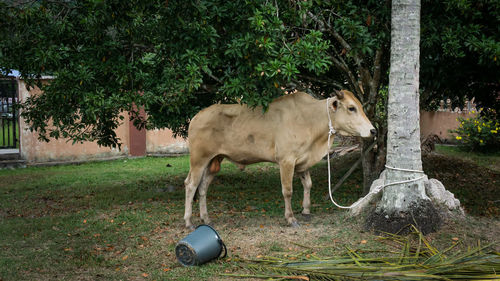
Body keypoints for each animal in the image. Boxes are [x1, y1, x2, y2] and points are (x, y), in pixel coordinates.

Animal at [184, 89, 376, 228]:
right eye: (351, 108)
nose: (373, 130)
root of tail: (197, 116)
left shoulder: (303, 160)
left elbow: (308, 184)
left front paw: (306, 211)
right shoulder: (286, 160)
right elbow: (287, 190)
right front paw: (290, 218)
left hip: (214, 161)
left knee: (203, 188)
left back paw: (206, 219)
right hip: (199, 159)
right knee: (191, 185)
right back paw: (188, 222)